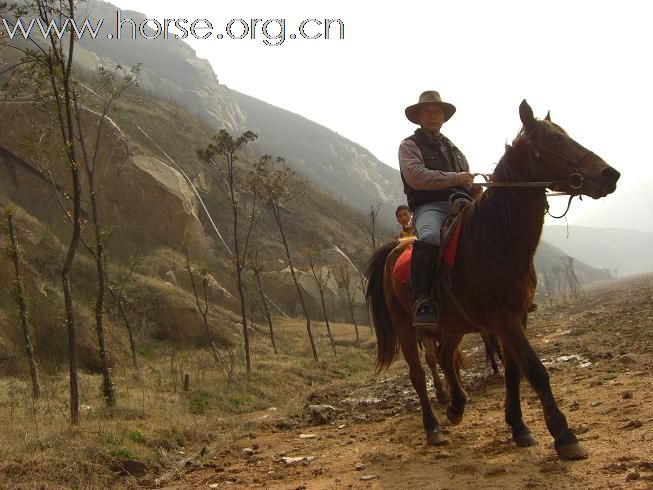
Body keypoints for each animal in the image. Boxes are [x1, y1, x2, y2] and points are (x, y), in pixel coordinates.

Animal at [370, 99, 620, 460]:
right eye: (554, 140)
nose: (609, 174)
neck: (496, 240)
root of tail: (396, 248)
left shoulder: (517, 317)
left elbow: (515, 372)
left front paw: (519, 427)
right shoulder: (503, 318)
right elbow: (535, 370)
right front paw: (564, 434)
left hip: (453, 323)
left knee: (446, 356)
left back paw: (456, 407)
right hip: (407, 327)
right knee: (419, 373)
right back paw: (433, 427)